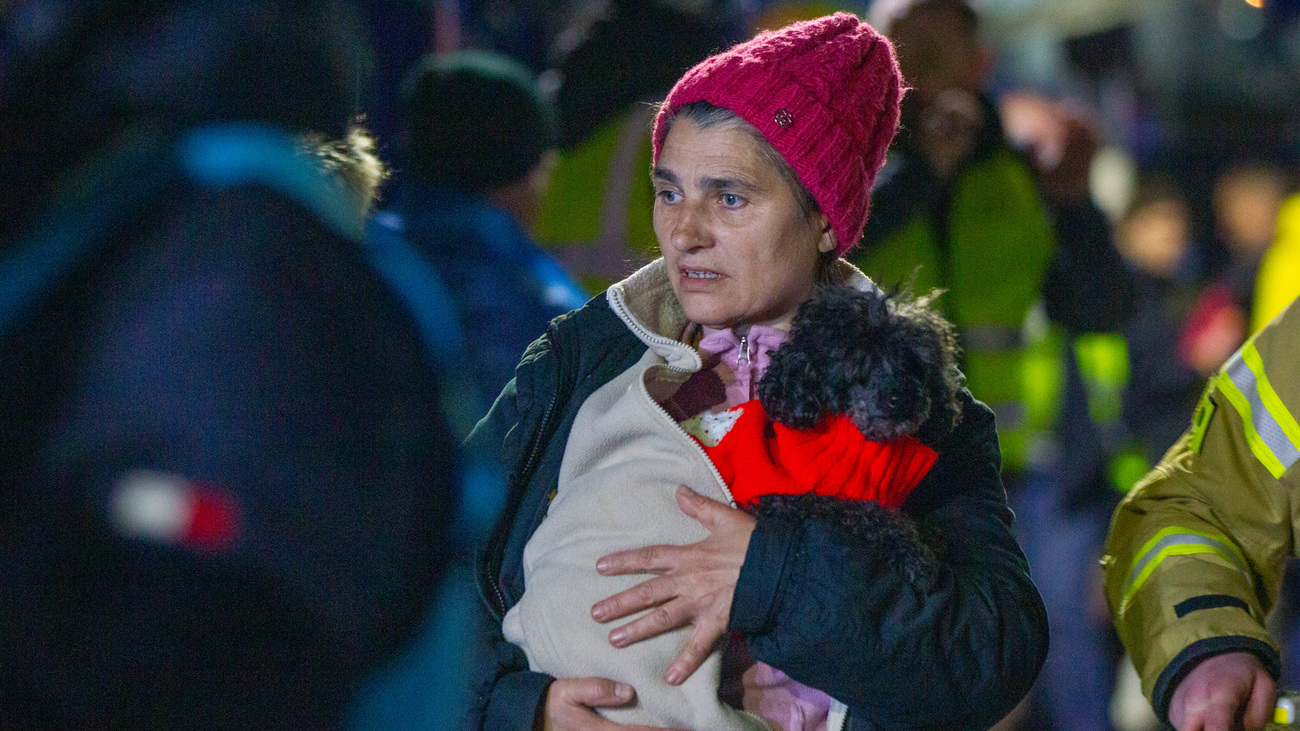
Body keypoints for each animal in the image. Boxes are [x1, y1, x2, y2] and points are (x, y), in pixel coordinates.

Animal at [748, 284, 961, 585]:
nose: (903, 398)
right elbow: (867, 513)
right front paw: (914, 550)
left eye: (912, 360)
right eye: (857, 359)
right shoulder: (788, 501)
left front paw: (929, 536)